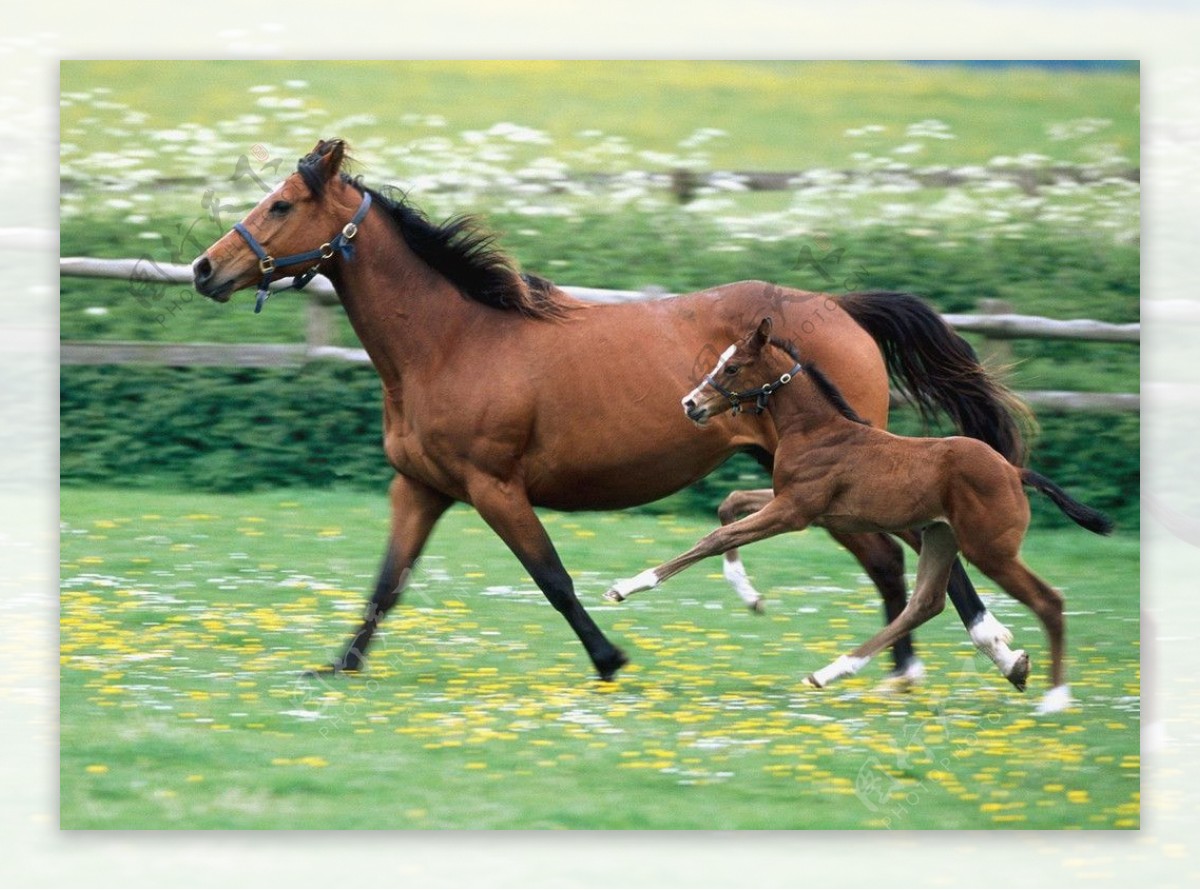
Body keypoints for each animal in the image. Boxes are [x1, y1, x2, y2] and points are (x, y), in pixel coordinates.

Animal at [609, 316, 1113, 714]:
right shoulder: (797, 504)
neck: (817, 428)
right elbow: (729, 506)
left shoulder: (794, 511)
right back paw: (831, 671)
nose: (690, 404)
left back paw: (1055, 699)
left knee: (1049, 601)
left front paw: (627, 586)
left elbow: (715, 538)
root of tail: (1013, 470)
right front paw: (747, 592)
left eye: (731, 367)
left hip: (990, 550)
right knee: (924, 604)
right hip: (941, 537)